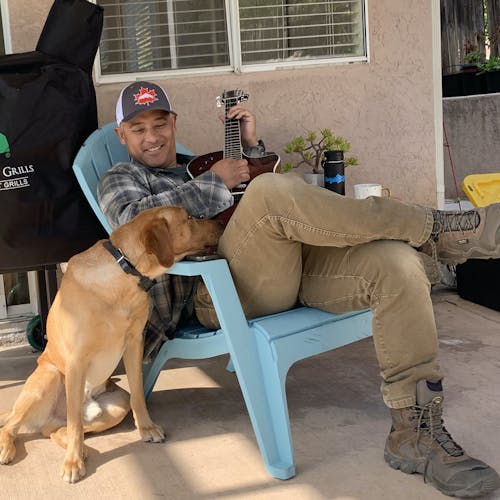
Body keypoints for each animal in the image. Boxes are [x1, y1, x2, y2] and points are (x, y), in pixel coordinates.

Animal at [0, 206, 223, 483]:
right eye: (189, 218)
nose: (221, 223)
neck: (124, 274)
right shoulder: (76, 359)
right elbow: (74, 421)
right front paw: (72, 462)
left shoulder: (134, 343)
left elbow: (137, 393)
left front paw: (146, 428)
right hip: (48, 377)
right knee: (16, 426)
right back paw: (15, 448)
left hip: (116, 405)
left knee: (55, 430)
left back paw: (81, 448)